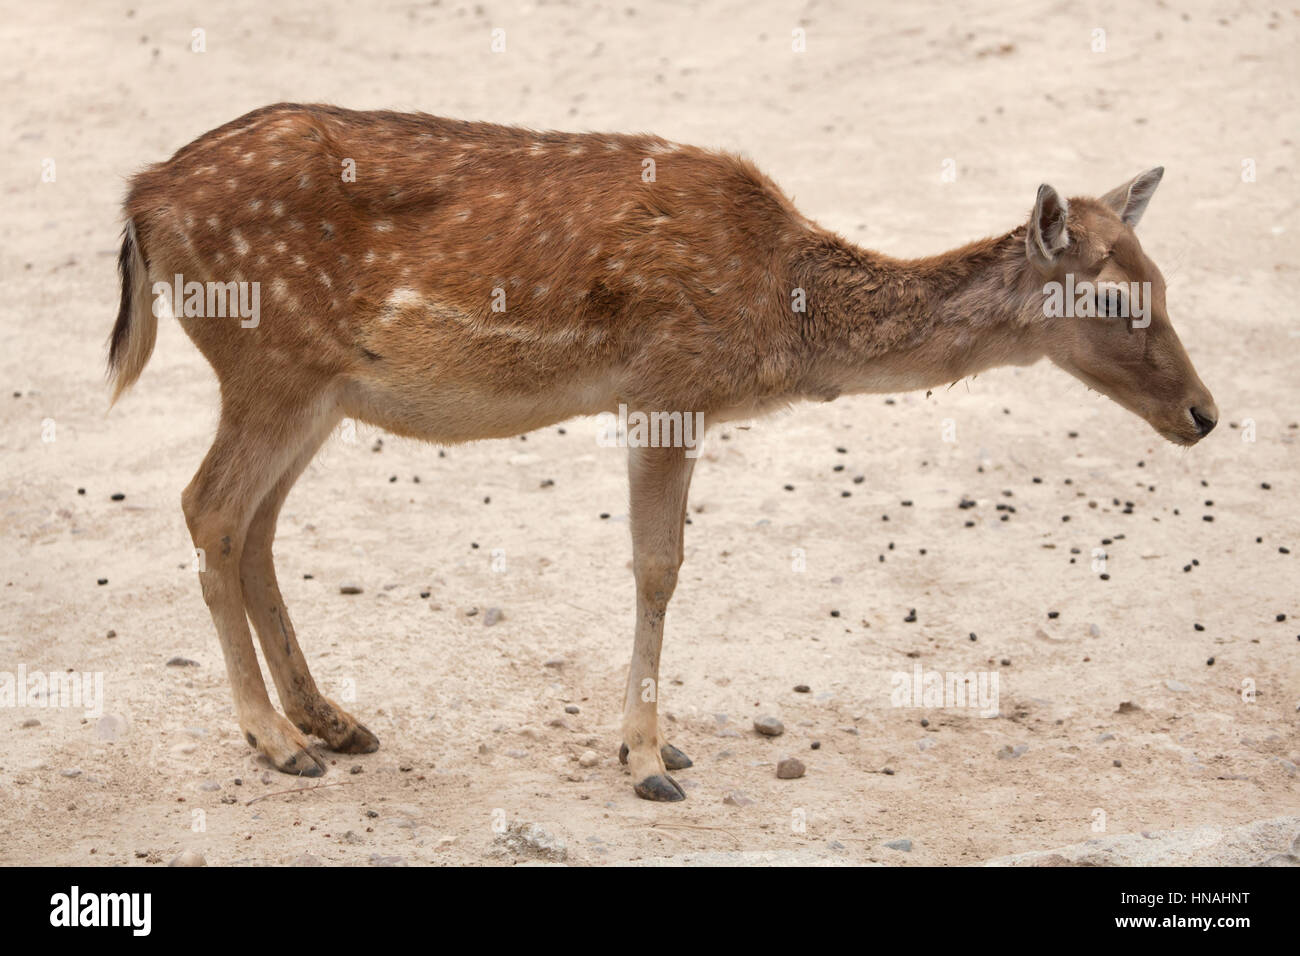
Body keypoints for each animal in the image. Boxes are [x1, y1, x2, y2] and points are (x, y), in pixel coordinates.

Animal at [111, 104, 1216, 806]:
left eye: (1166, 278)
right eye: (1111, 297)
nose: (1204, 413)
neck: (779, 318)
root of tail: (142, 199)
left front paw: (655, 737)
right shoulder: (667, 384)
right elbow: (658, 566)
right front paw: (646, 756)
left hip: (318, 390)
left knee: (254, 524)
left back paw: (334, 721)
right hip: (269, 358)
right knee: (209, 506)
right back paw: (275, 742)